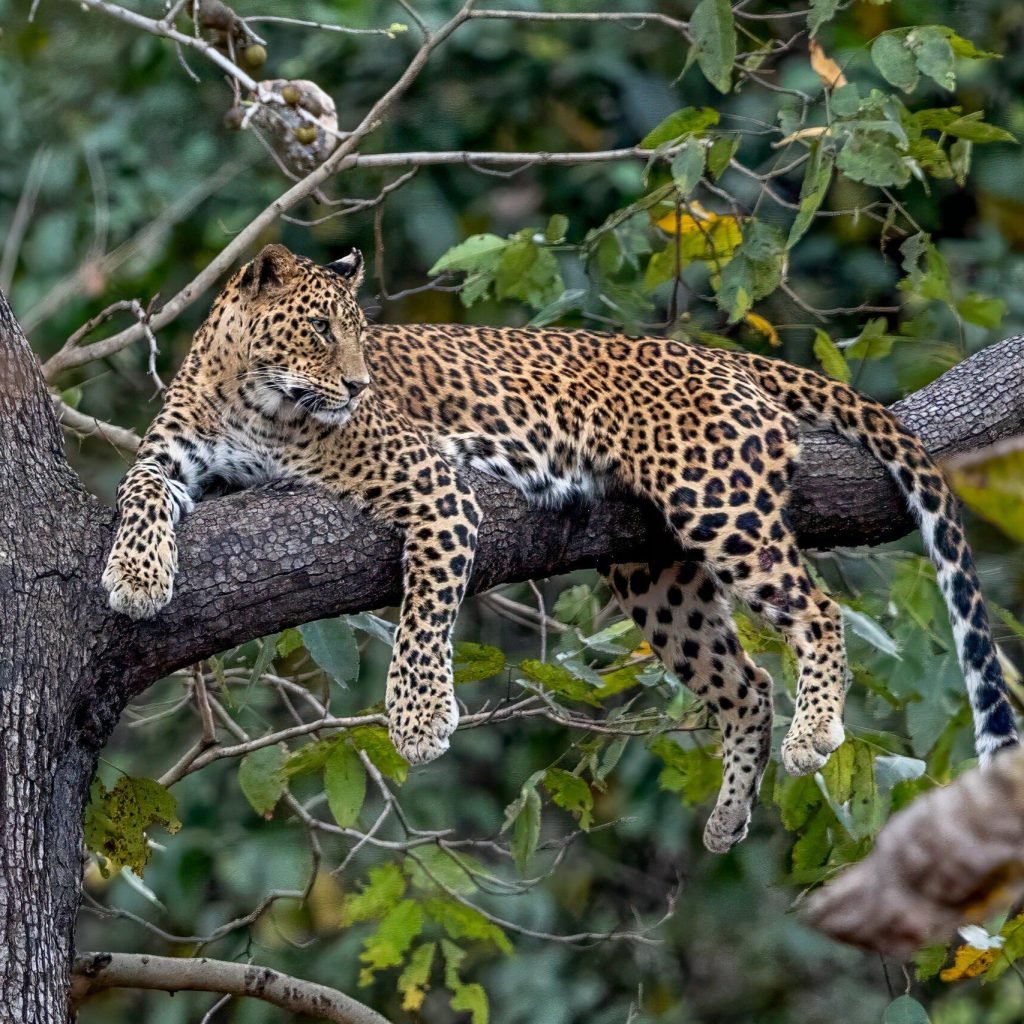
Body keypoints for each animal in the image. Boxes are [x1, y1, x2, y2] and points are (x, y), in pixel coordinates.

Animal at [103, 243, 1019, 853]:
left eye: (359, 333)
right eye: (322, 330)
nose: (360, 385)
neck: (248, 396)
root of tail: (714, 355)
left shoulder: (435, 484)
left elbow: (424, 610)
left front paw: (418, 719)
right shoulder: (168, 458)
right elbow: (138, 495)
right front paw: (135, 576)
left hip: (716, 501)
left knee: (819, 611)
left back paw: (814, 734)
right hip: (658, 574)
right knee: (747, 682)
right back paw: (729, 814)